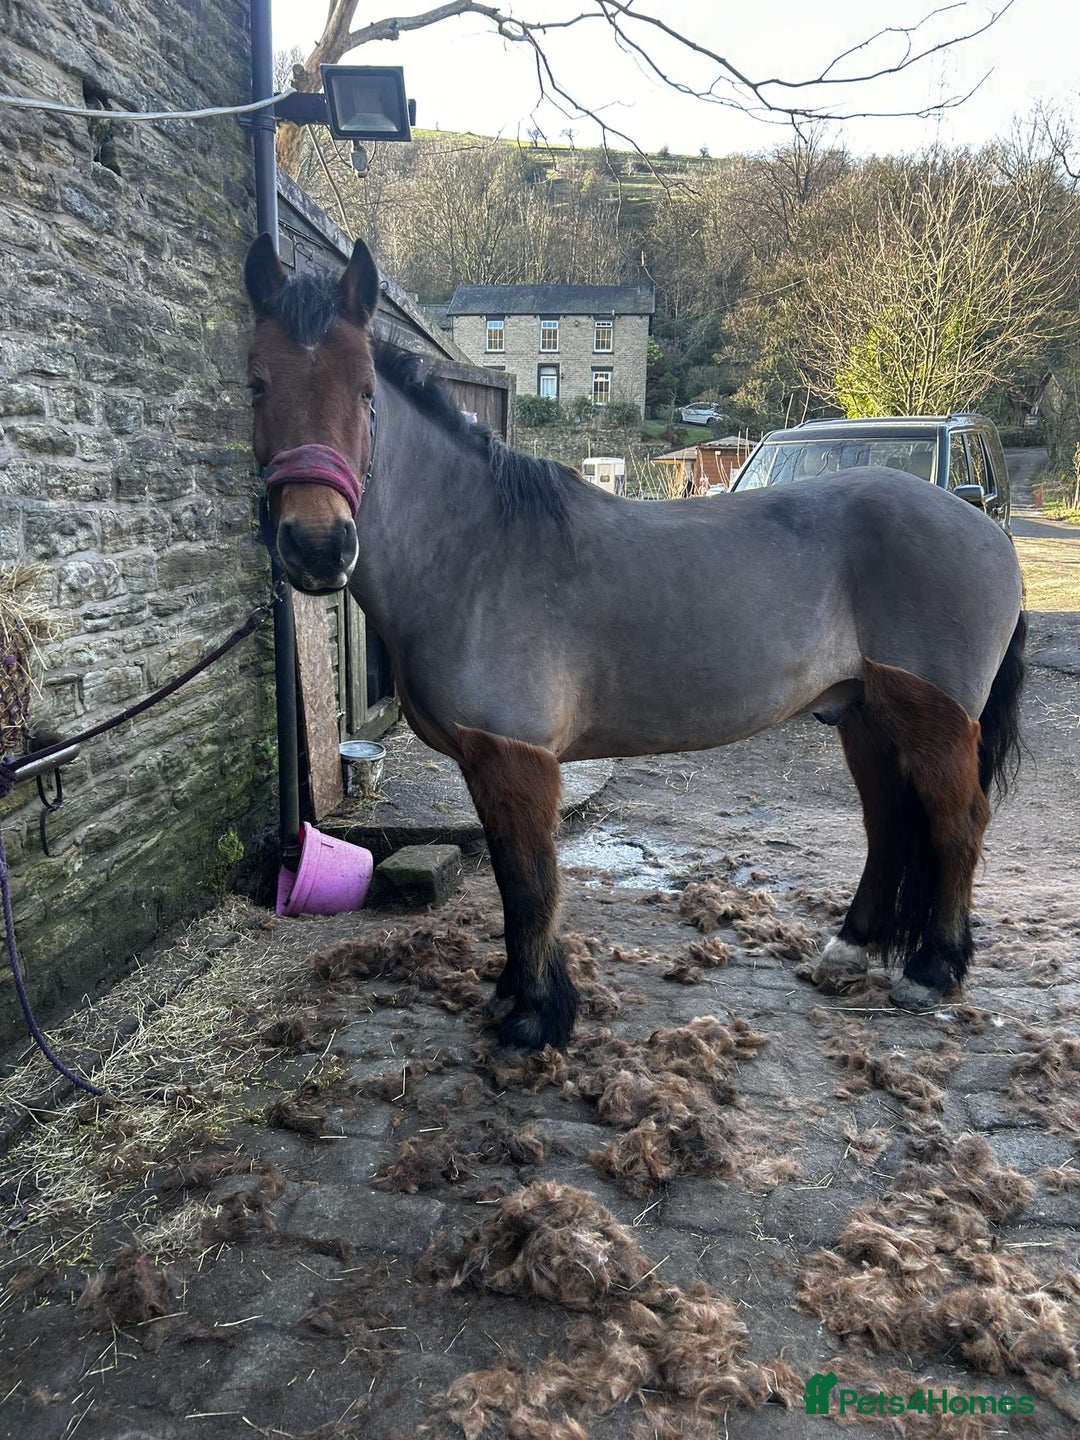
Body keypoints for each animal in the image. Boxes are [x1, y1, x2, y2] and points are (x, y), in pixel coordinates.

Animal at [244, 233, 1026, 1052]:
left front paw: (536, 1016)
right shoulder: (488, 762)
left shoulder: (514, 759)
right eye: (257, 383)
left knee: (957, 823)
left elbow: (530, 885)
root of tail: (983, 528)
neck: (476, 551)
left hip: (935, 720)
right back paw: (851, 947)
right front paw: (513, 997)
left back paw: (931, 971)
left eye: (366, 391)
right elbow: (512, 882)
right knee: (889, 823)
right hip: (865, 714)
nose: (317, 546)